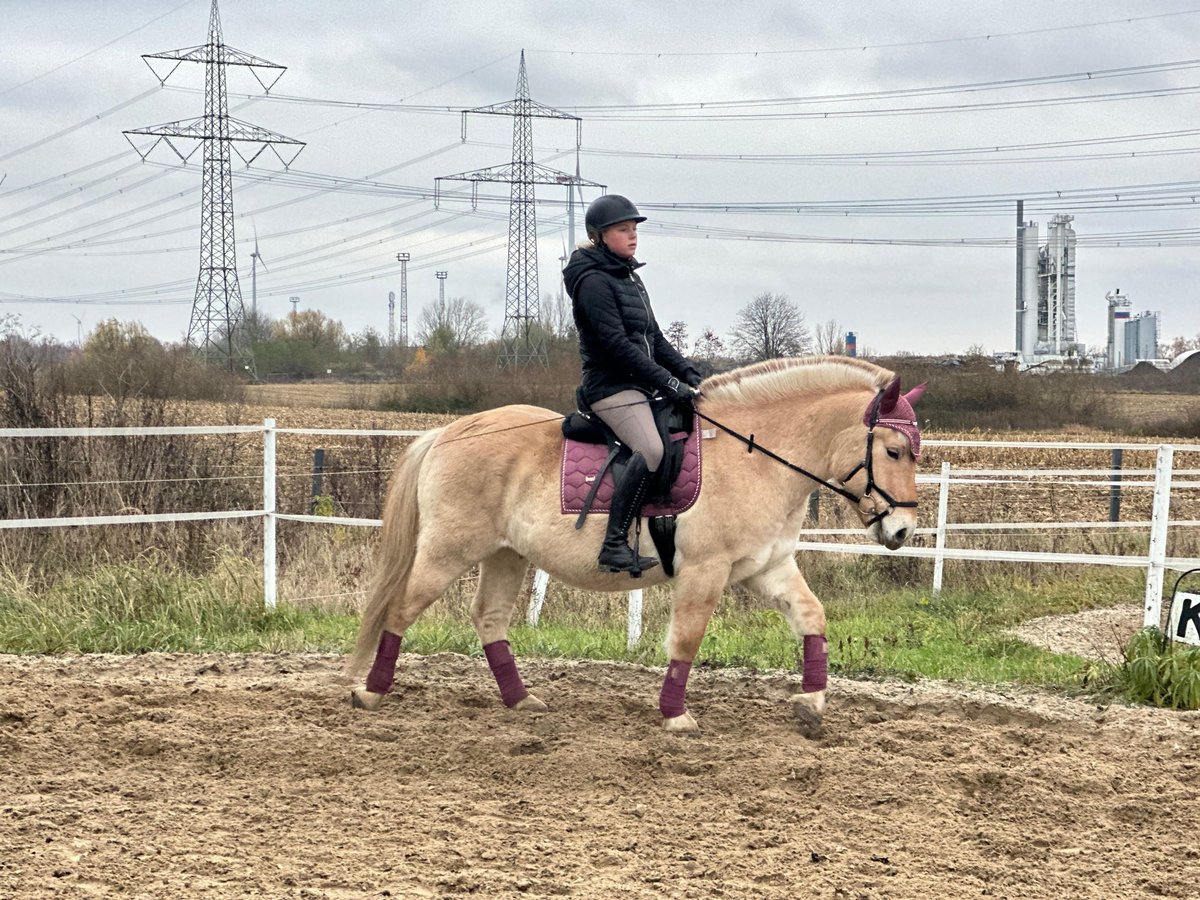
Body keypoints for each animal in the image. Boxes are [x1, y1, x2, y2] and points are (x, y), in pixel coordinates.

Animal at [350, 355, 926, 734]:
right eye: (894, 451)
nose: (902, 532)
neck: (756, 456)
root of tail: (448, 433)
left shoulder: (768, 565)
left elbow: (812, 617)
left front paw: (811, 705)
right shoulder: (705, 570)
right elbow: (686, 640)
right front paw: (677, 716)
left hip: (505, 554)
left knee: (488, 619)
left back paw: (521, 700)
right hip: (448, 549)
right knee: (400, 608)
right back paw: (369, 692)